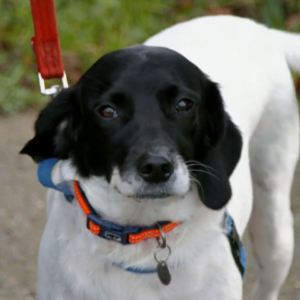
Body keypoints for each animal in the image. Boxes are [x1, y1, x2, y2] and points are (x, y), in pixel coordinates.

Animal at [21, 16, 300, 300]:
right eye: (107, 111)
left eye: (184, 104)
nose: (157, 168)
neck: (141, 239)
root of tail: (258, 29)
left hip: (275, 232)